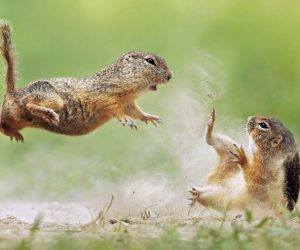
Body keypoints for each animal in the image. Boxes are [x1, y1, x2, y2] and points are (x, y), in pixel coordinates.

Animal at [0, 22, 172, 142]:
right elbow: (115, 109)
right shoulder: (106, 96)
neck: (120, 79)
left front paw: (151, 117)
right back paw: (47, 114)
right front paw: (126, 119)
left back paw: (16, 135)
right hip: (53, 100)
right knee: (29, 104)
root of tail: (11, 94)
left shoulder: (129, 104)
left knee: (4, 126)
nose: (170, 76)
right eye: (150, 61)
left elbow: (137, 113)